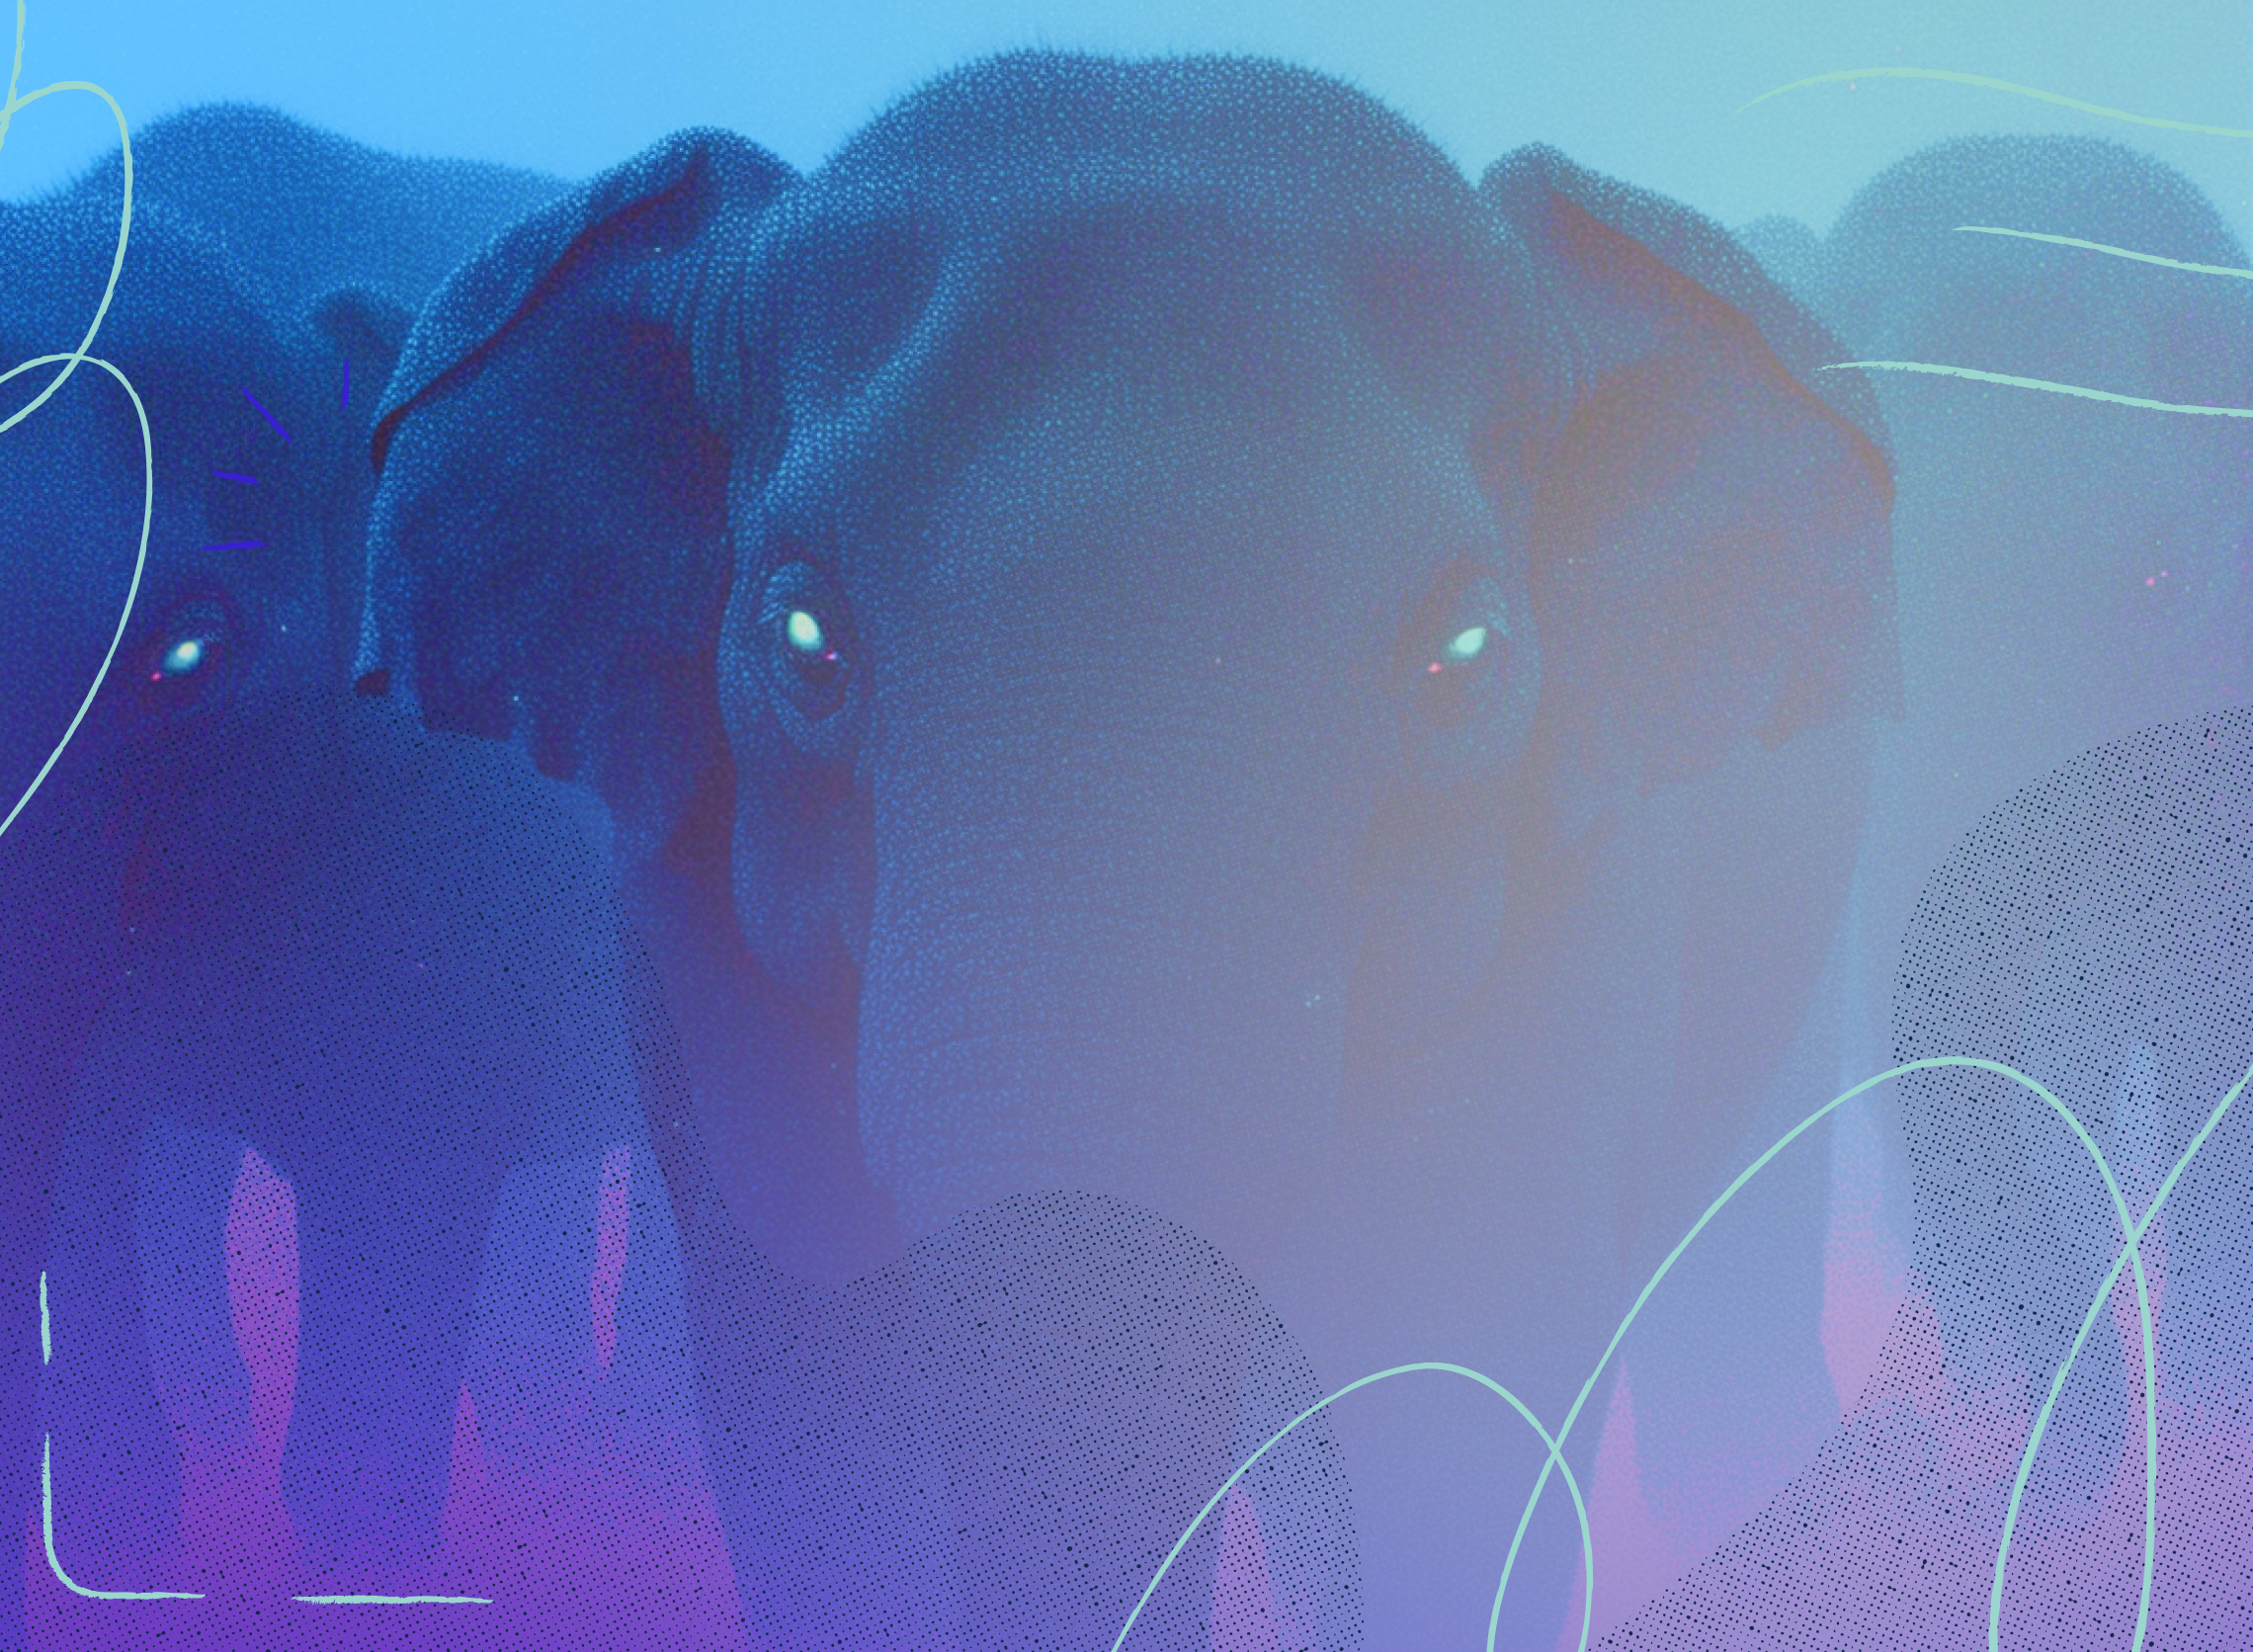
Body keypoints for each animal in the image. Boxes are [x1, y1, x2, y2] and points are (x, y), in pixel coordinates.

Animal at [362, 51, 1898, 1647]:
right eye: (802, 638)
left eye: (1465, 660)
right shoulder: (703, 971)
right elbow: (820, 1427)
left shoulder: (1572, 932)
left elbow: (1452, 1403)